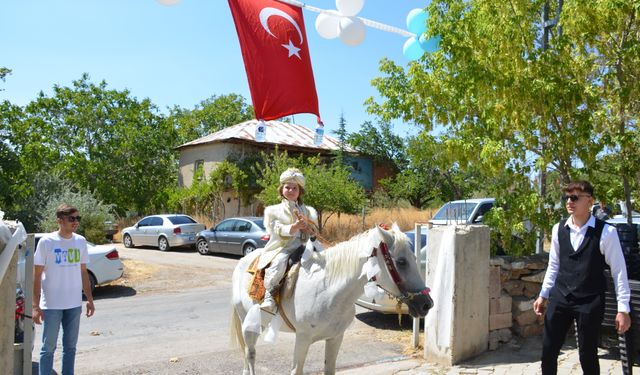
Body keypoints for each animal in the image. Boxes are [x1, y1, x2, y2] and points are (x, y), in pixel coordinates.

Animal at [230, 225, 436, 374]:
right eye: (401, 262)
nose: (427, 304)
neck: (328, 291)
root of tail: (242, 262)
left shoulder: (335, 338)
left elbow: (329, 369)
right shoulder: (302, 338)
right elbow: (296, 370)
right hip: (247, 322)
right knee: (250, 355)